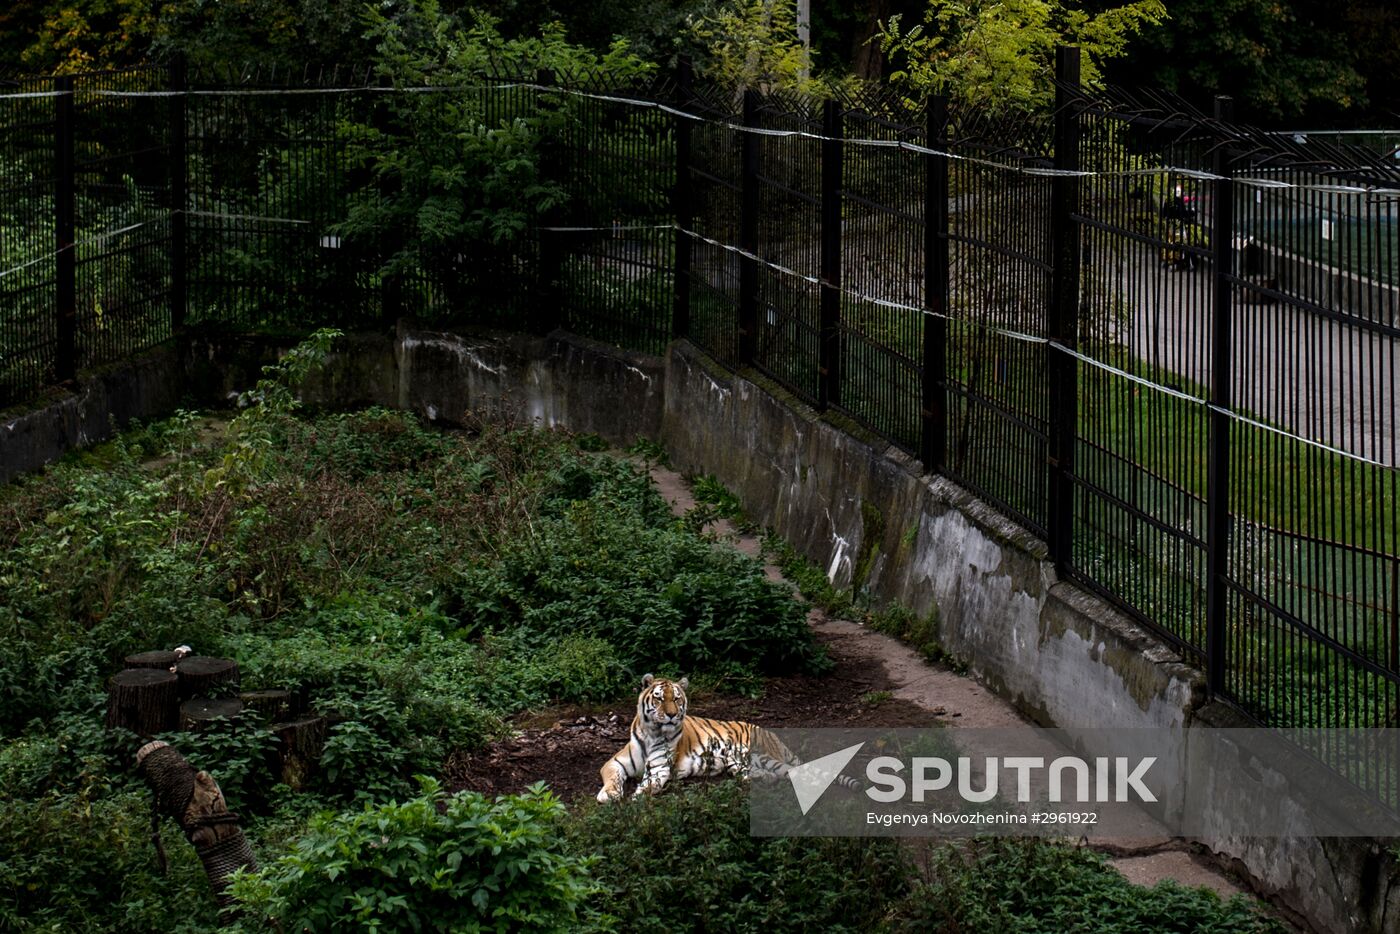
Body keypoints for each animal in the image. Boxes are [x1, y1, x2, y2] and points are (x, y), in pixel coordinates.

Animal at [593, 672, 856, 806]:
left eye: (676, 698)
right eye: (659, 698)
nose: (671, 715)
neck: (653, 732)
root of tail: (772, 734)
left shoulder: (660, 769)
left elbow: (647, 786)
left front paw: (635, 798)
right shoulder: (614, 762)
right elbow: (612, 777)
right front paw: (610, 794)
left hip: (763, 754)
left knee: (797, 772)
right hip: (739, 763)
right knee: (765, 775)